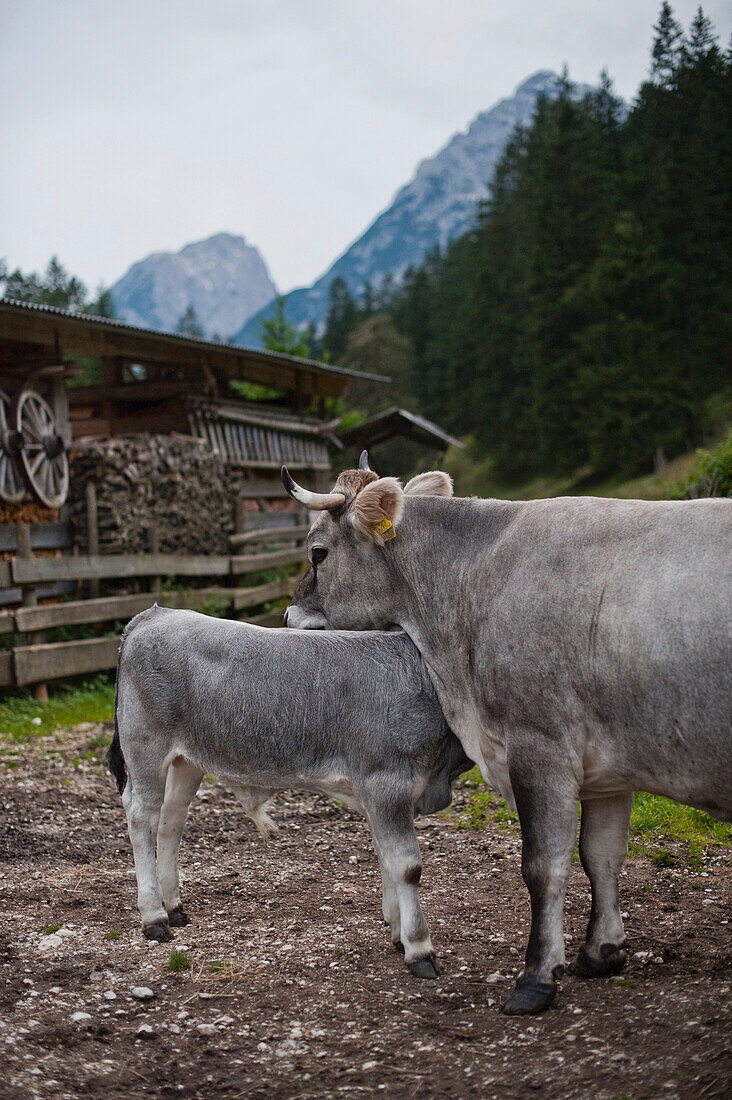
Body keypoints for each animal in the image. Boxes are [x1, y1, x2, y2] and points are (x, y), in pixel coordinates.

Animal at [108, 602, 473, 981]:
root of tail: (154, 615)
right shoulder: (385, 781)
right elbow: (406, 866)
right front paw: (419, 948)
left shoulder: (389, 797)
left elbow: (387, 857)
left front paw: (399, 933)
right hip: (146, 750)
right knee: (142, 819)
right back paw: (154, 917)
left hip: (186, 761)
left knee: (171, 821)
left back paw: (174, 905)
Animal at [281, 453, 730, 1012]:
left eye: (318, 552)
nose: (288, 616)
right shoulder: (609, 765)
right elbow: (601, 855)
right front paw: (601, 952)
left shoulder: (539, 746)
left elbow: (544, 865)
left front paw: (536, 977)